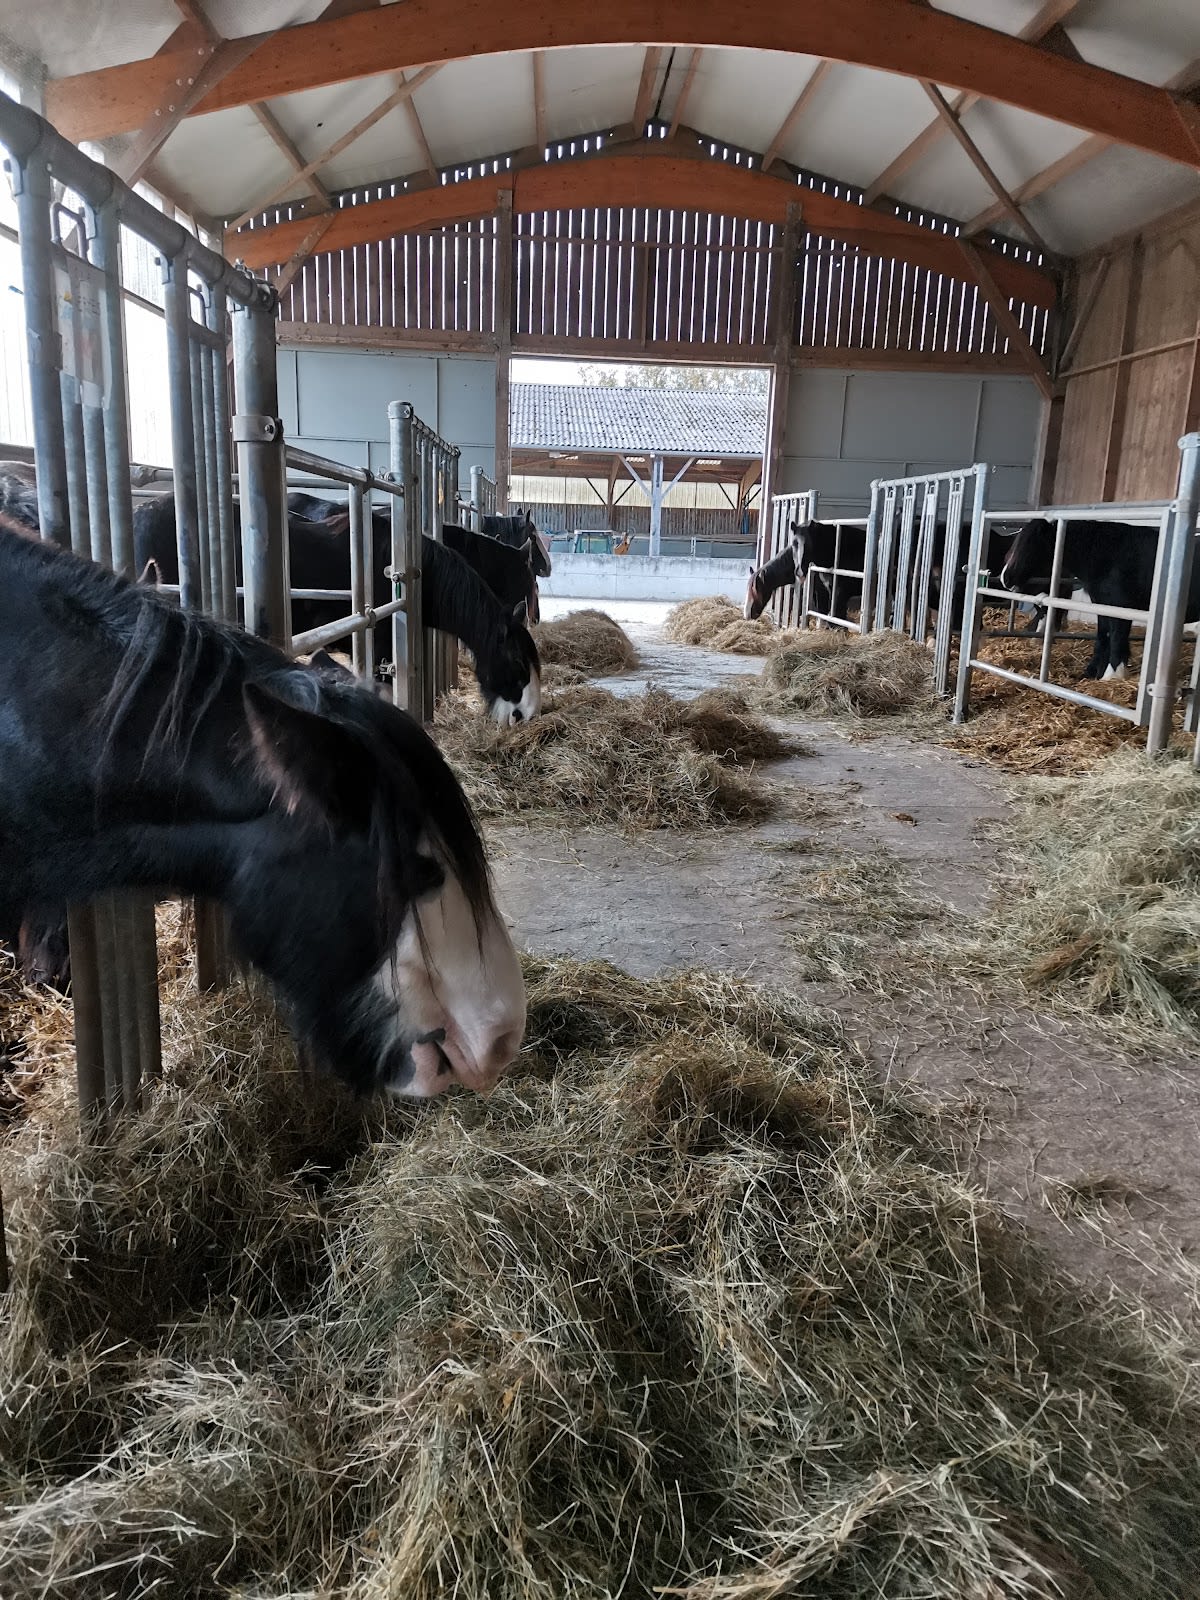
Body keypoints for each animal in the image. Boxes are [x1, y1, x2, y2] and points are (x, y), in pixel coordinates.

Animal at [999, 516, 1200, 680]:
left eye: (1030, 544)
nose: (1005, 578)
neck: (1110, 555)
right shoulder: (1102, 605)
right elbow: (1103, 636)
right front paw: (1092, 672)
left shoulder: (1121, 608)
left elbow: (1117, 638)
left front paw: (1112, 676)